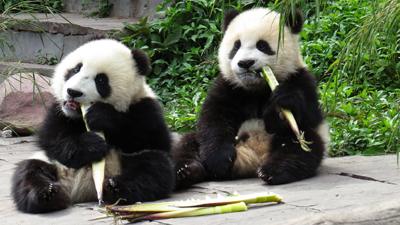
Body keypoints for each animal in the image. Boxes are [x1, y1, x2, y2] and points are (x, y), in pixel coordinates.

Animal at [173, 7, 330, 188]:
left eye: (262, 45)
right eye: (236, 46)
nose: (245, 63)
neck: (256, 88)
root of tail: (251, 159)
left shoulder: (300, 78)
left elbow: (308, 116)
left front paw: (282, 101)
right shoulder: (228, 86)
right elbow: (214, 118)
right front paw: (218, 161)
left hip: (301, 140)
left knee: (299, 148)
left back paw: (272, 171)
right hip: (202, 142)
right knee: (188, 143)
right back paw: (186, 171)